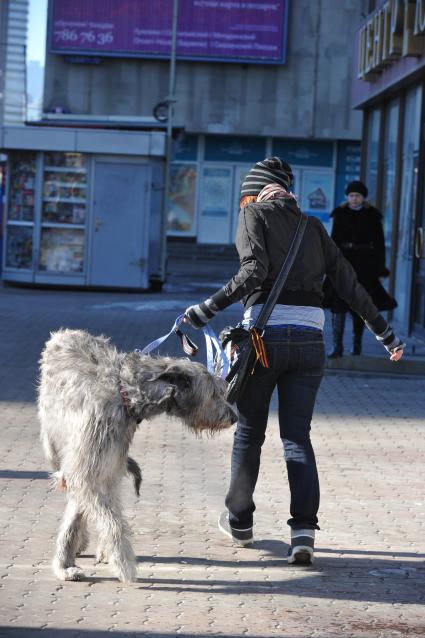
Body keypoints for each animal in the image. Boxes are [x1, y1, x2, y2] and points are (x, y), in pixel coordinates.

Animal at [38, 330, 235, 584]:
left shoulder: (107, 466)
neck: (125, 393)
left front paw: (76, 559)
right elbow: (109, 520)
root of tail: (64, 333)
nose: (234, 417)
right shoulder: (87, 467)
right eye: (213, 393)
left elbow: (95, 513)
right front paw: (120, 564)